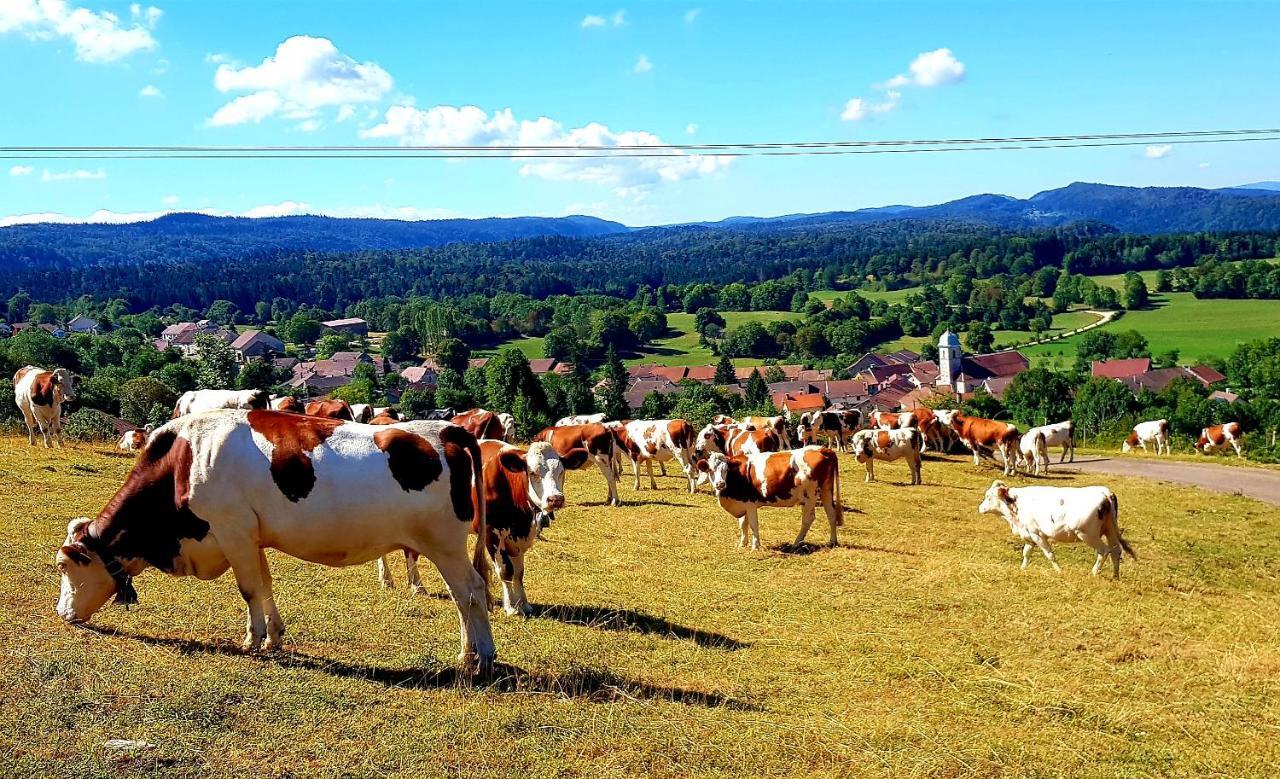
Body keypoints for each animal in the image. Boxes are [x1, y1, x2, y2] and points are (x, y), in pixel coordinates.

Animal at [55, 406, 494, 670]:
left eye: (63, 566)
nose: (61, 613)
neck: (184, 459)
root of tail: (447, 429)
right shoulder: (251, 538)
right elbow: (264, 586)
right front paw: (274, 638)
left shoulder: (231, 531)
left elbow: (249, 589)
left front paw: (252, 640)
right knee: (465, 594)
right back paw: (471, 652)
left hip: (445, 544)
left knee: (471, 591)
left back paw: (480, 655)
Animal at [373, 437, 586, 613]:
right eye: (532, 472)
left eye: (561, 471)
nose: (555, 499)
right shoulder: (492, 533)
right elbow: (505, 571)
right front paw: (511, 607)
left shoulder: (517, 536)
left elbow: (519, 572)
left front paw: (523, 604)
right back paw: (392, 580)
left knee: (409, 551)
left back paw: (414, 584)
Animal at [696, 447, 844, 550]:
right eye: (710, 470)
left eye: (726, 470)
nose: (720, 484)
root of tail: (822, 449)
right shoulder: (743, 502)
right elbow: (743, 524)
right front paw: (742, 544)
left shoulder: (750, 503)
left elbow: (753, 524)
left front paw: (755, 546)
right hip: (826, 491)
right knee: (831, 514)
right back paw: (832, 541)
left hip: (809, 497)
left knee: (808, 519)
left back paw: (796, 543)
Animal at [972, 475, 1136, 573]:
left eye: (988, 497)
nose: (980, 508)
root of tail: (1105, 493)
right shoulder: (1029, 535)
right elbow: (1026, 553)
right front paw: (1023, 568)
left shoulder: (1037, 535)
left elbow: (1049, 554)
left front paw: (1059, 571)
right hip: (1110, 530)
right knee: (1116, 551)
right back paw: (1115, 576)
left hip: (1088, 535)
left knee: (1104, 551)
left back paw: (1094, 572)